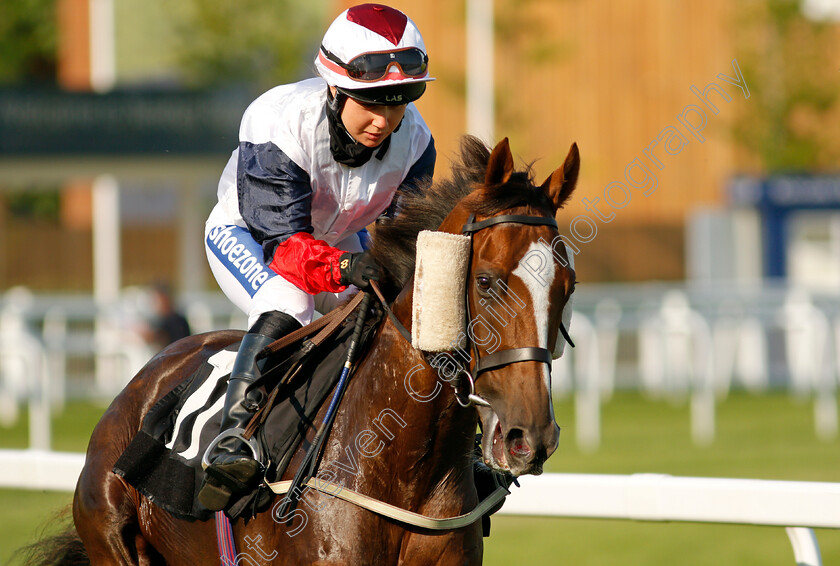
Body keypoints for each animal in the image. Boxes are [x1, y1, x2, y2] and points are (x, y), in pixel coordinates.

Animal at [29, 135, 576, 564]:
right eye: (486, 282)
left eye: (567, 287)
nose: (531, 436)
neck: (404, 470)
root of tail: (148, 374)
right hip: (111, 535)